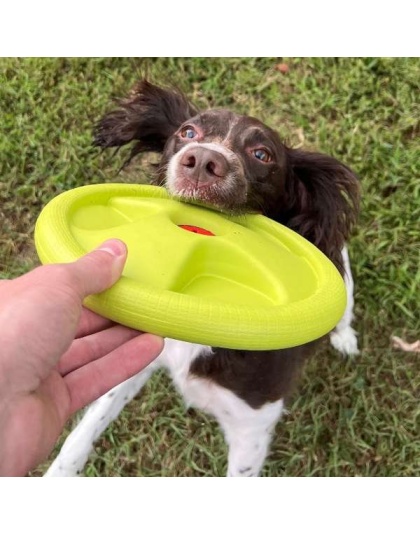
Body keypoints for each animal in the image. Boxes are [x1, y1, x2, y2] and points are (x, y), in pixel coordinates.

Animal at [46, 80, 360, 478]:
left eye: (262, 154)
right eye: (188, 132)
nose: (201, 161)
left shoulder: (251, 425)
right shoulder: (139, 353)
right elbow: (87, 426)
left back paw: (345, 338)